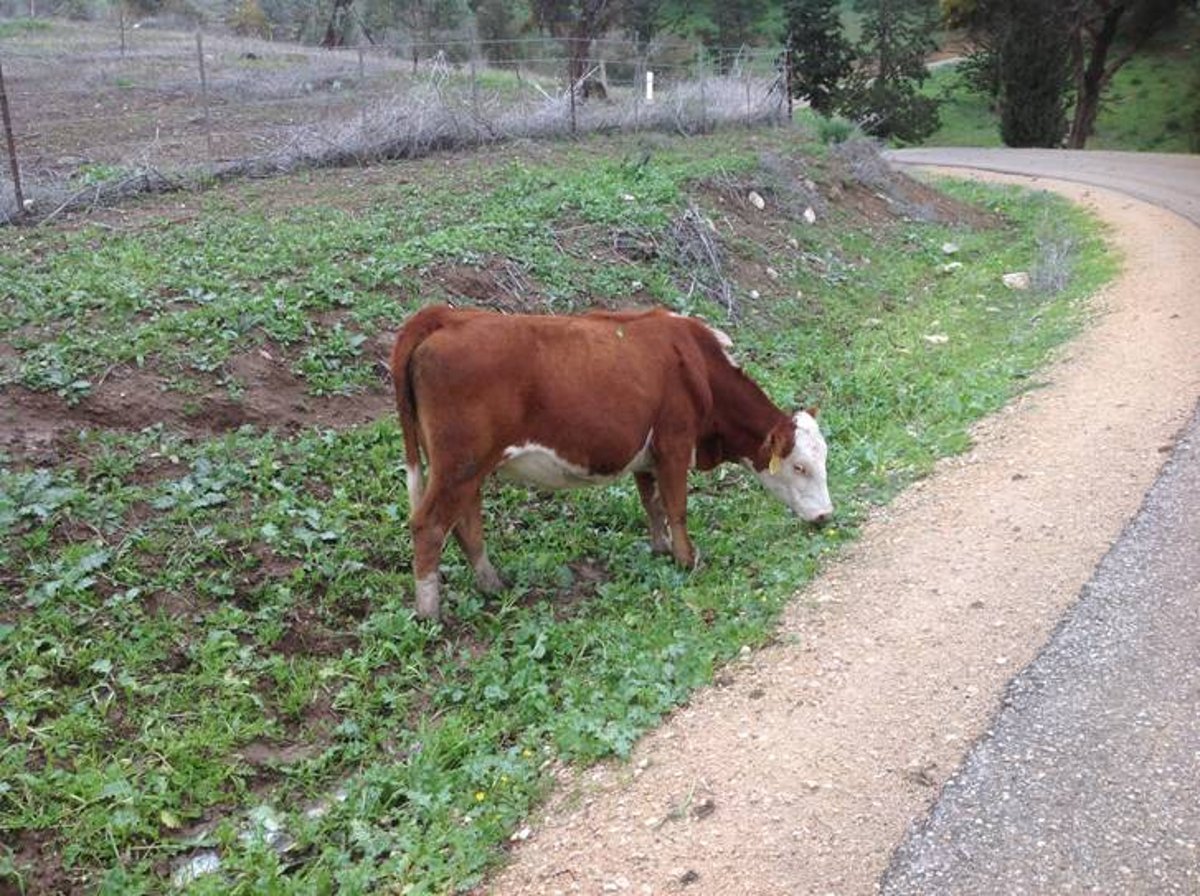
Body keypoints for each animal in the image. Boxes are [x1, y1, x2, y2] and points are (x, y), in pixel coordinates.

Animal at [388, 304, 830, 618]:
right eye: (799, 467)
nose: (826, 516)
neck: (699, 366)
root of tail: (446, 316)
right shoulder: (674, 442)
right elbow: (676, 507)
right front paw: (688, 560)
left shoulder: (648, 455)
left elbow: (652, 503)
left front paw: (661, 549)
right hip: (459, 463)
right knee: (429, 525)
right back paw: (430, 613)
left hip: (466, 467)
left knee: (465, 523)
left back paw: (492, 584)